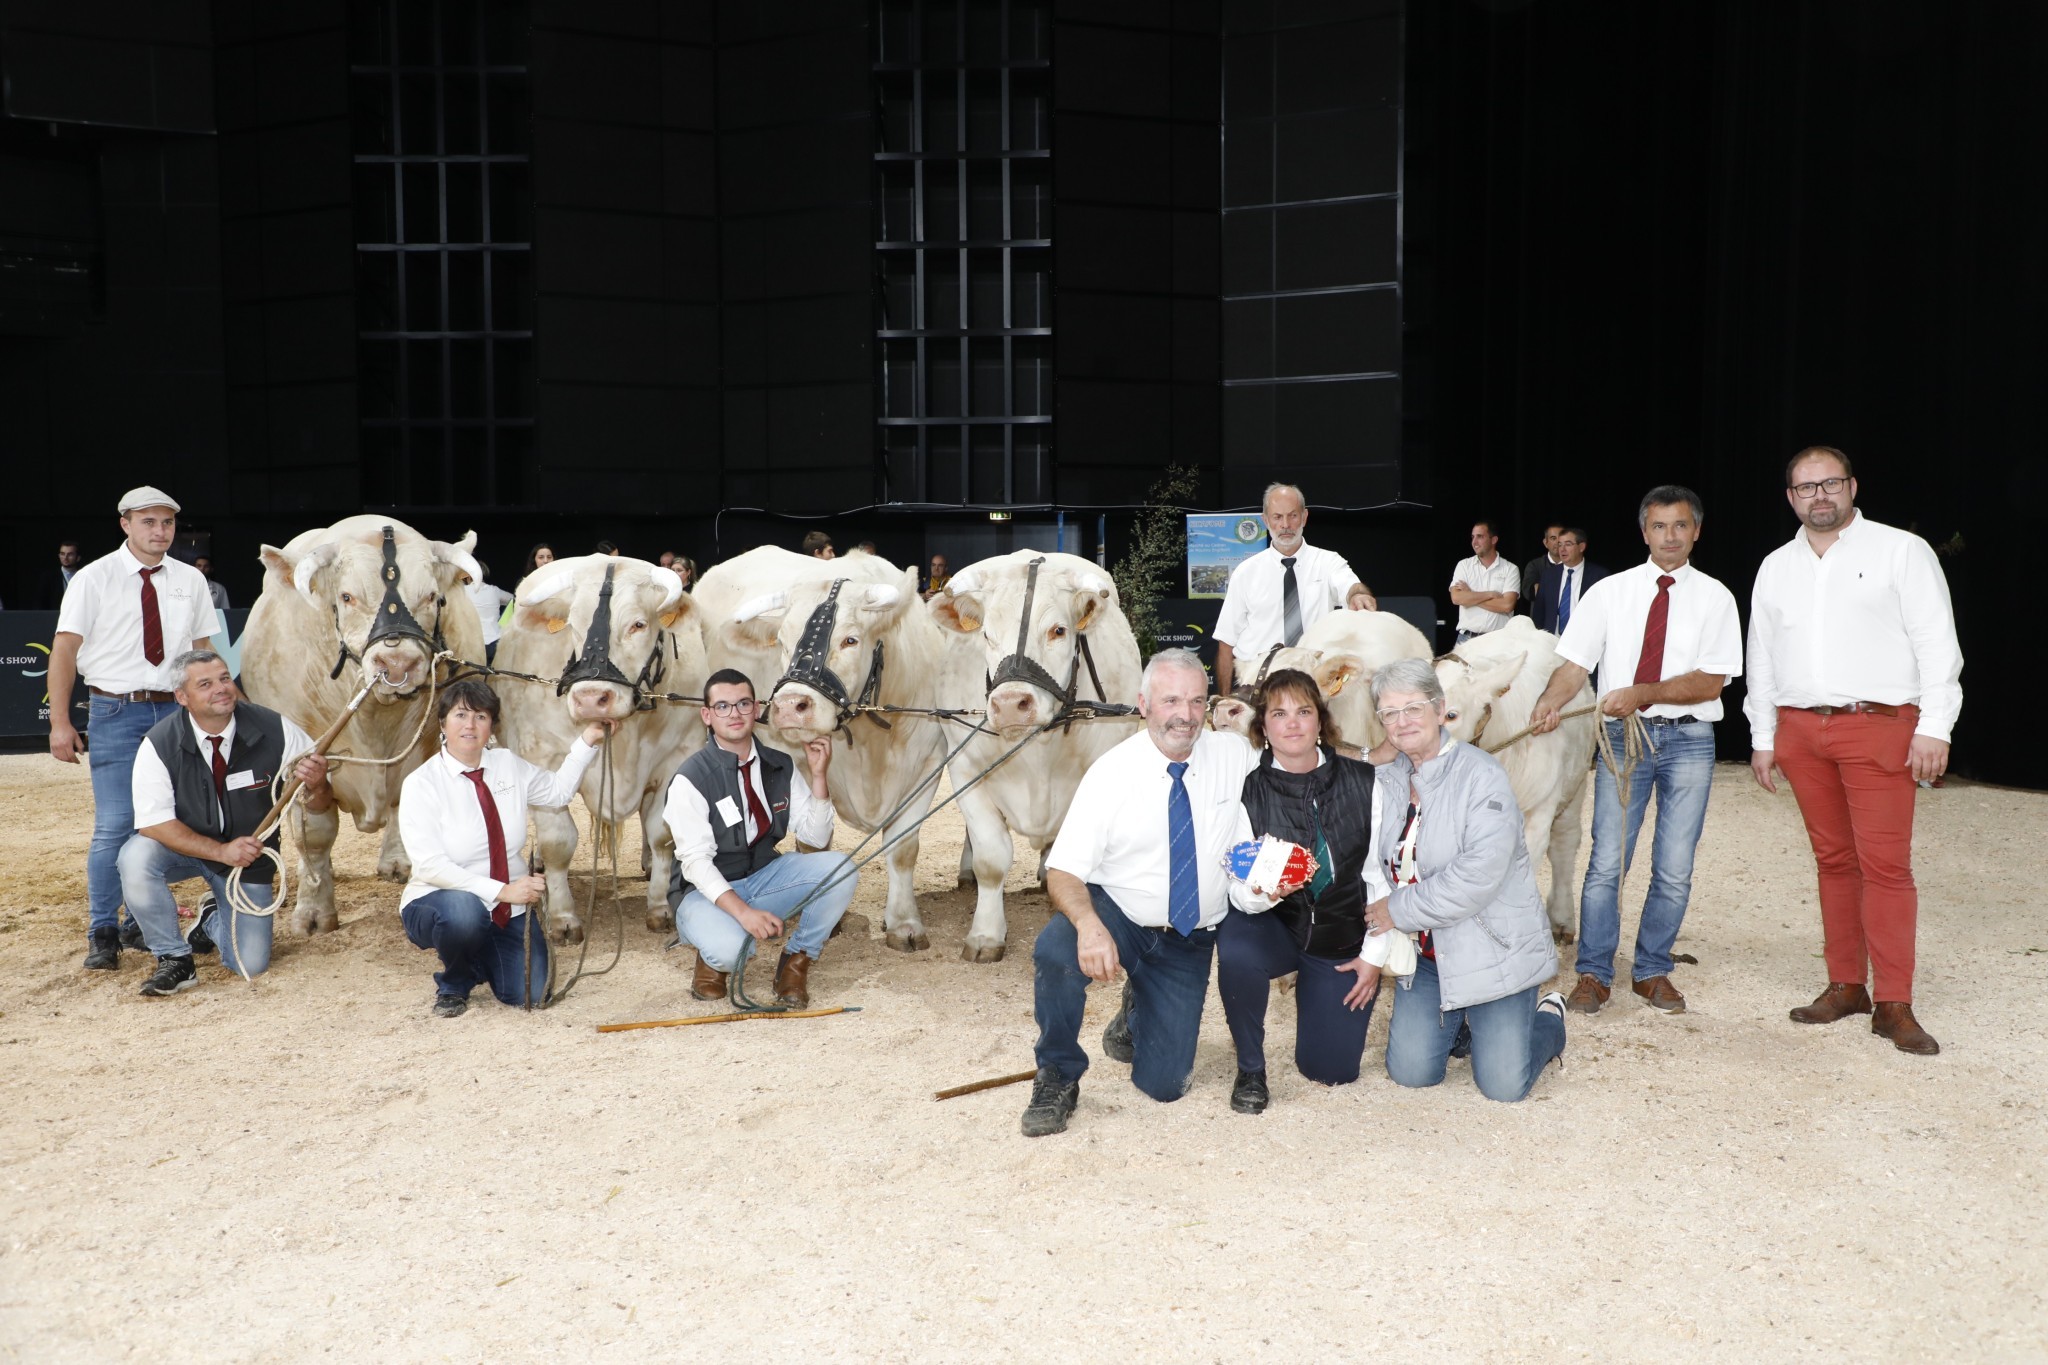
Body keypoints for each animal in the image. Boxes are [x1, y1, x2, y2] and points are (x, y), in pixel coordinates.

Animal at [241, 517, 485, 933]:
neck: (376, 720)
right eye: (347, 597)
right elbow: (314, 837)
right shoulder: (301, 763)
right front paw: (313, 913)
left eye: (433, 597)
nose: (398, 664)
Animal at [491, 552, 708, 941]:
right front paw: (562, 917)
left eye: (638, 624)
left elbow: (662, 834)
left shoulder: (676, 760)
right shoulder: (543, 759)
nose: (591, 697)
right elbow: (559, 842)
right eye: (573, 627)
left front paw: (660, 908)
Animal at [696, 544, 983, 949]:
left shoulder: (928, 764)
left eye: (851, 640)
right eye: (782, 642)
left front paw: (904, 923)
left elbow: (903, 848)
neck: (870, 744)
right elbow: (814, 845)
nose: (789, 706)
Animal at [925, 548, 1138, 961]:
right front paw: (985, 934)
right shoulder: (965, 769)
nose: (1010, 704)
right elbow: (992, 858)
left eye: (1058, 630)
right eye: (987, 635)